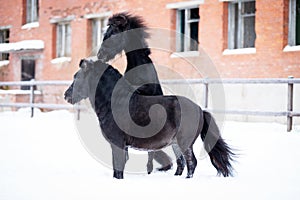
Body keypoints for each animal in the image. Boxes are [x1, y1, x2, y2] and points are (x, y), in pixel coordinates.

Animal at [64, 59, 236, 180]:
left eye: (77, 77)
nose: (66, 95)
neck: (115, 103)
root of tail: (200, 109)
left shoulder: (118, 143)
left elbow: (118, 167)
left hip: (185, 143)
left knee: (191, 163)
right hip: (175, 143)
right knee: (181, 164)